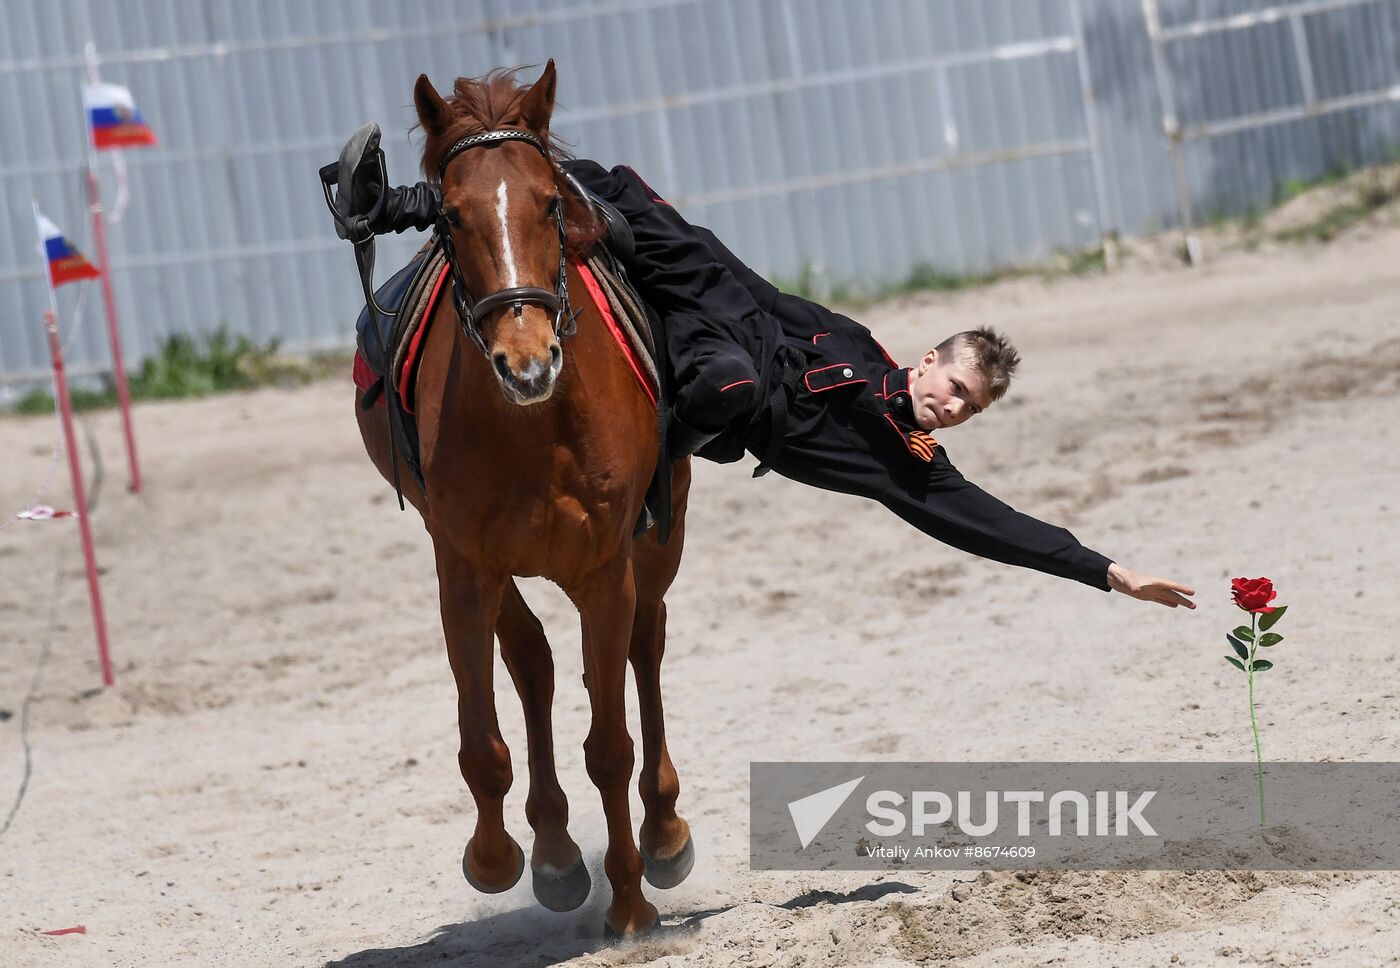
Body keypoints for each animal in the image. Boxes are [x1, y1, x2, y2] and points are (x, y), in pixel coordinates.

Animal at [358, 62, 691, 941]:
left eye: (548, 201)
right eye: (450, 213)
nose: (526, 359)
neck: (537, 425)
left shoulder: (608, 568)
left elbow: (610, 742)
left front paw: (632, 904)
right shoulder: (463, 568)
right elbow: (483, 742)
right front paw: (498, 859)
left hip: (659, 543)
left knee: (646, 646)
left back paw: (664, 831)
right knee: (533, 663)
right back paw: (554, 853)